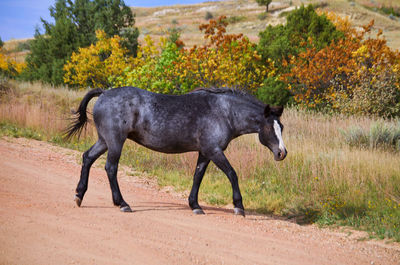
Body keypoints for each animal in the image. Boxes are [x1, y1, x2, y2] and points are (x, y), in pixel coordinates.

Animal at [67, 86, 288, 214]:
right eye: (270, 128)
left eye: (282, 127)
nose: (282, 153)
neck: (224, 112)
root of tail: (104, 93)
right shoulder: (214, 150)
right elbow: (232, 173)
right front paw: (238, 206)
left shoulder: (205, 152)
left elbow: (197, 176)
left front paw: (195, 205)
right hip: (115, 142)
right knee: (111, 168)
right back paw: (122, 203)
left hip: (104, 140)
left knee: (87, 158)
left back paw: (79, 195)